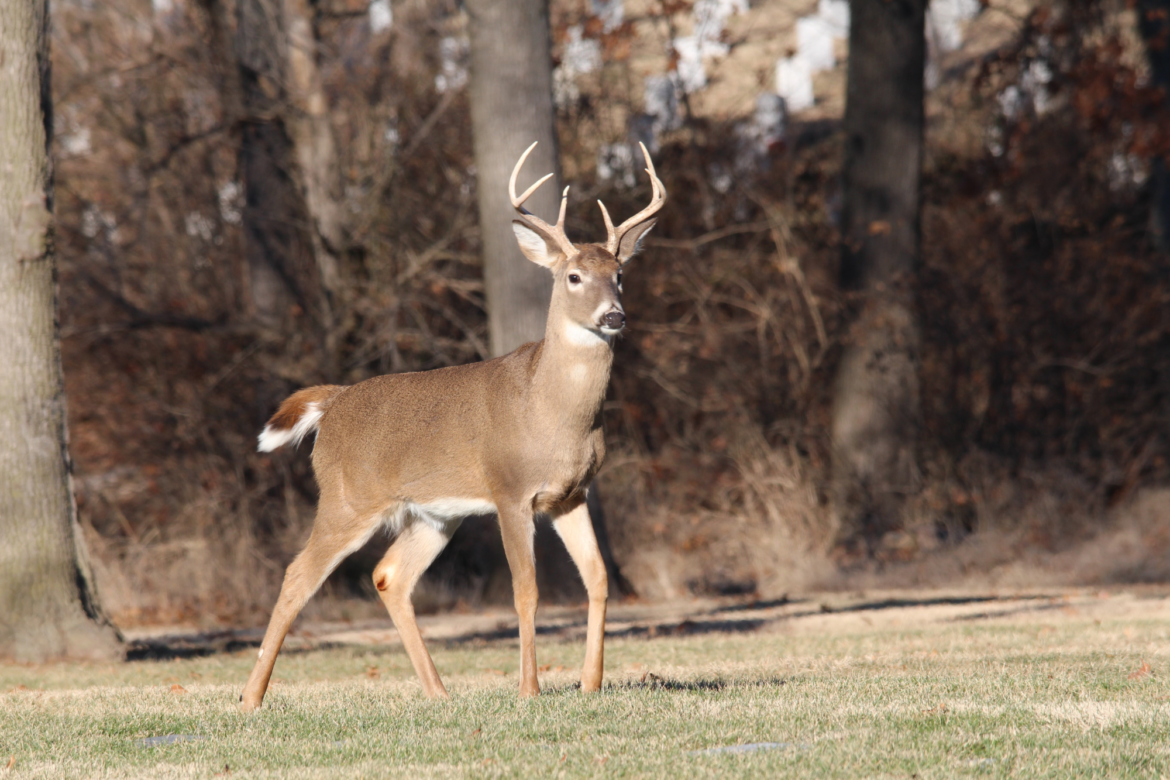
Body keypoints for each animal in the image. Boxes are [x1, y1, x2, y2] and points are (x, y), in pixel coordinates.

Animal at [239, 142, 665, 712]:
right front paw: (529, 690)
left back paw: (438, 692)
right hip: (347, 499)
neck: (555, 415)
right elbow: (526, 590)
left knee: (389, 575)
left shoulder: (572, 494)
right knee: (297, 575)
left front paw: (590, 683)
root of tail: (332, 404)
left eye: (620, 275)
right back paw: (250, 698)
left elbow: (597, 579)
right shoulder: (510, 491)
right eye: (573, 276)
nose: (614, 316)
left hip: (434, 514)